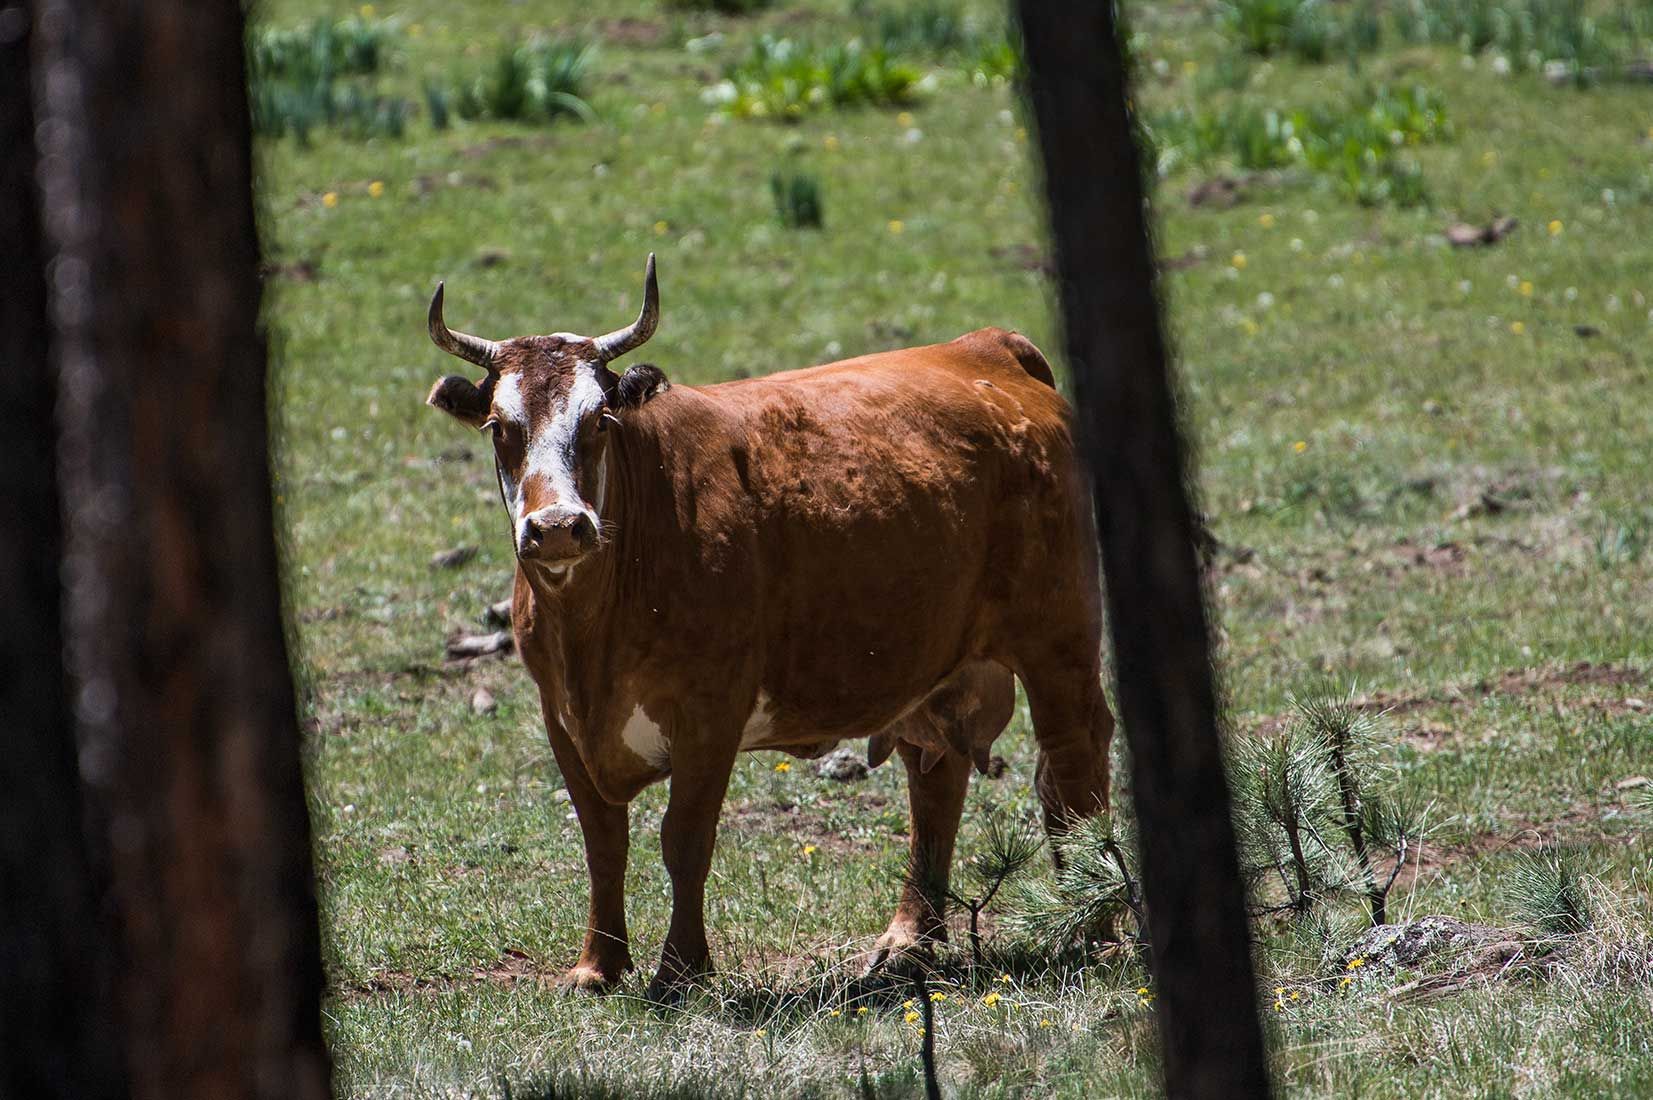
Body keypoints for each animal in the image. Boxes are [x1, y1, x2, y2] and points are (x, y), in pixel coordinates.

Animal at [424, 255, 1114, 1000]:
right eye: (500, 427)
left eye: (600, 420)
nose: (556, 527)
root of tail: (987, 349)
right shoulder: (560, 713)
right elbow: (603, 840)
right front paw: (596, 967)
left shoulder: (710, 709)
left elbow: (684, 838)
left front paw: (680, 969)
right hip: (940, 659)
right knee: (935, 778)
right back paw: (909, 939)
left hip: (1059, 638)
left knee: (1073, 759)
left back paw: (1091, 926)